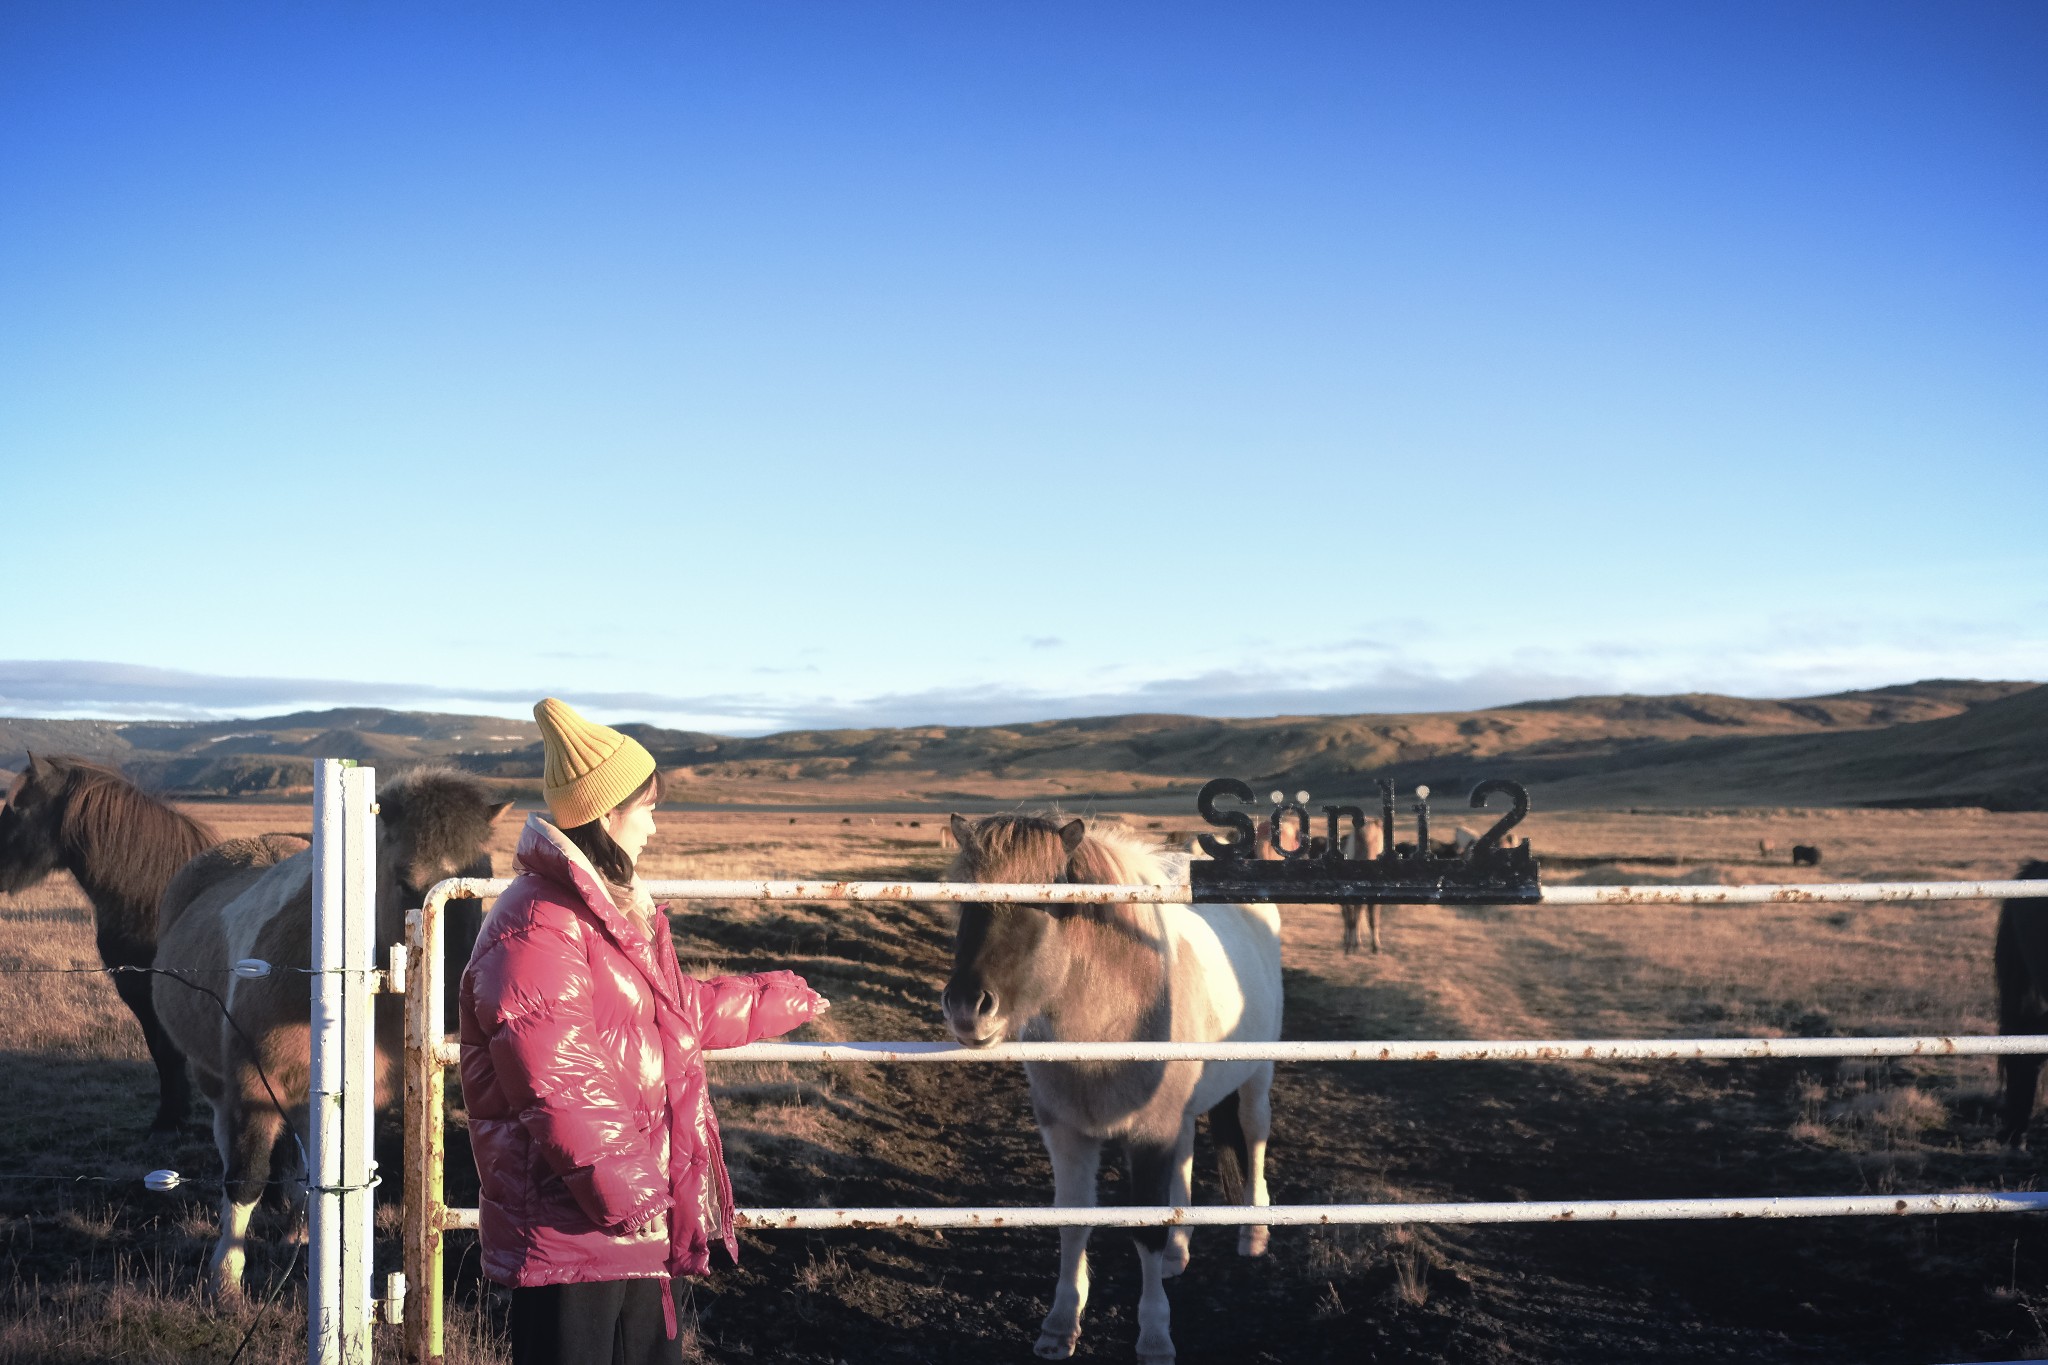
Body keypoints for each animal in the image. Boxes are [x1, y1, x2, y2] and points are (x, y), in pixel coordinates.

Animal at [0, 753, 216, 1137]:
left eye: (19, 808)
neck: (154, 896)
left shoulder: (148, 992)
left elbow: (165, 1052)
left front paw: (168, 1119)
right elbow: (162, 1053)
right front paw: (175, 1114)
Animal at [149, 765, 507, 1301]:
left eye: (478, 888)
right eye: (407, 883)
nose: (455, 1007)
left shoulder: (365, 1098)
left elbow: (334, 1170)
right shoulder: (254, 1086)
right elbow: (246, 1179)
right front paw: (225, 1279)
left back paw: (299, 1228)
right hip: (215, 1077)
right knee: (227, 1136)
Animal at [937, 818, 1277, 1365]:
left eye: (1048, 898)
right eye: (964, 898)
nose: (968, 1007)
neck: (1116, 1014)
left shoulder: (1150, 1134)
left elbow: (1146, 1227)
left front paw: (1155, 1337)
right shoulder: (1067, 1133)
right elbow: (1073, 1220)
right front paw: (1060, 1325)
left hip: (1256, 1074)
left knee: (1254, 1133)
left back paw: (1254, 1232)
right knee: (1187, 1153)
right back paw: (1180, 1251)